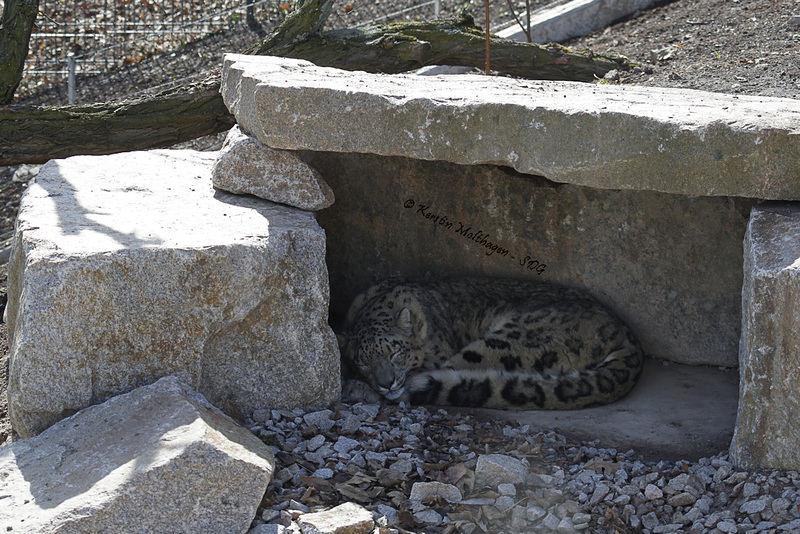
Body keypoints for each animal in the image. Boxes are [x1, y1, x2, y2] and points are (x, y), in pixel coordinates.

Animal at [338, 280, 644, 410]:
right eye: (362, 362)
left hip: (510, 341)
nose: (385, 382)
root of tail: (625, 332)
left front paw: (359, 387)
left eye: (396, 353)